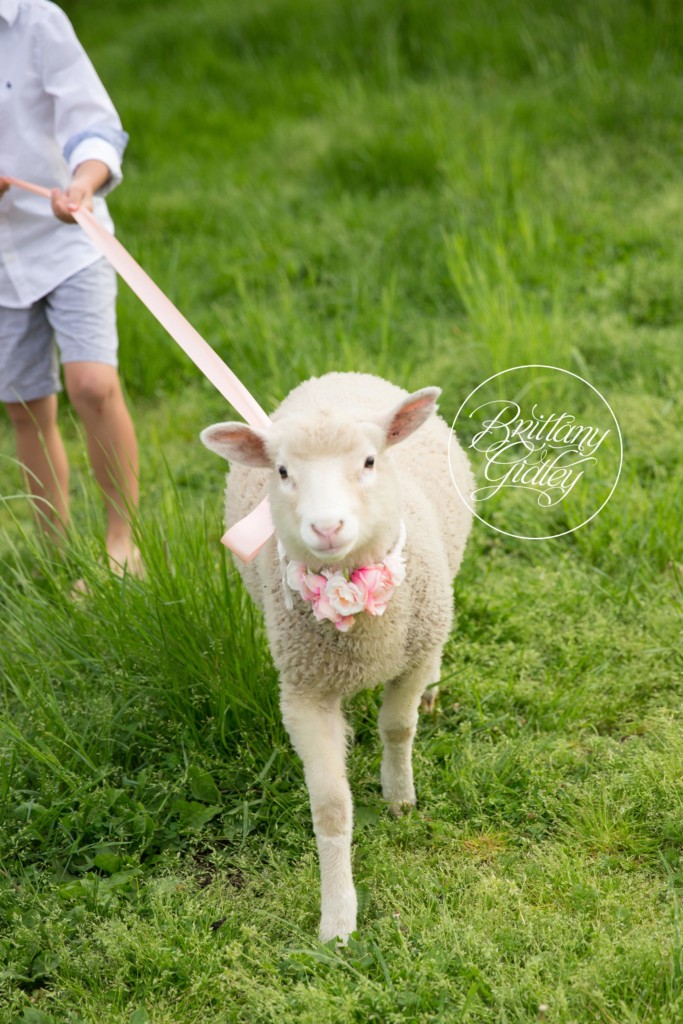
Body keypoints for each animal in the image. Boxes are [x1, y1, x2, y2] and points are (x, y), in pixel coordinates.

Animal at [200, 371, 473, 943]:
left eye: (369, 461)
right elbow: (329, 808)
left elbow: (397, 727)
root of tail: (337, 377)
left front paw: (399, 797)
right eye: (283, 471)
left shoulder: (412, 656)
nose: (327, 528)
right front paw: (338, 921)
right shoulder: (304, 692)